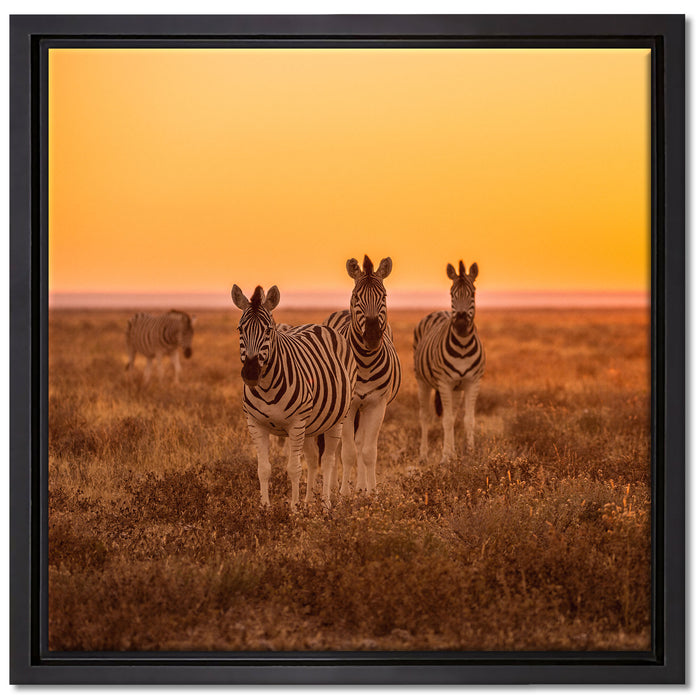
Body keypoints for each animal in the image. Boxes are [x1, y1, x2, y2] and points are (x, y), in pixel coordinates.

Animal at [231, 284, 357, 508]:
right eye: (240, 329)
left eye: (268, 330)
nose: (251, 373)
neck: (267, 387)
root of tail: (319, 326)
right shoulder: (255, 424)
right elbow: (263, 469)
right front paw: (265, 508)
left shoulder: (296, 424)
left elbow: (294, 469)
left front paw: (294, 510)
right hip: (310, 424)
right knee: (313, 458)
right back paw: (308, 503)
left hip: (336, 419)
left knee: (328, 460)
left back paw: (326, 504)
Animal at [323, 255, 401, 495]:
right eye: (357, 296)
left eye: (384, 296)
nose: (373, 336)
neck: (365, 363)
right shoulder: (349, 406)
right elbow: (347, 451)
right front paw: (343, 494)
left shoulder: (377, 404)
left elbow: (368, 451)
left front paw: (371, 492)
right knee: (338, 446)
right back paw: (334, 486)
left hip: (364, 407)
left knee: (359, 443)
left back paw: (360, 487)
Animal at [413, 260, 485, 462]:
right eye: (452, 294)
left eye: (472, 293)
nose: (460, 325)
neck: (462, 346)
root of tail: (439, 311)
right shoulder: (444, 383)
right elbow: (446, 420)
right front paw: (445, 457)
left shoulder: (472, 382)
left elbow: (468, 419)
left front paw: (470, 453)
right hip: (422, 381)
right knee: (425, 416)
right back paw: (423, 455)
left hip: (456, 389)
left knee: (452, 415)